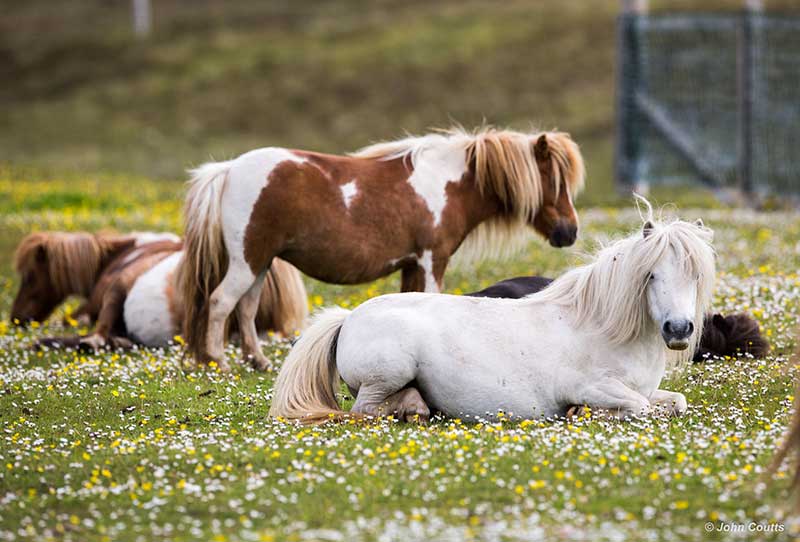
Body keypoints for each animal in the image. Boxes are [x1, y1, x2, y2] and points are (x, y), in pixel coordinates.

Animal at [178, 126, 584, 372]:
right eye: (554, 180)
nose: (569, 232)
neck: (450, 184)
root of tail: (228, 169)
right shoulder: (432, 259)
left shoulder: (410, 265)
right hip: (247, 260)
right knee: (220, 303)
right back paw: (218, 361)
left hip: (260, 263)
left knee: (246, 309)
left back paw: (258, 361)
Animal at [272, 206, 716, 428]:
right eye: (651, 274)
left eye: (696, 275)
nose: (679, 329)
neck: (600, 329)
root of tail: (348, 317)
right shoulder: (594, 388)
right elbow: (638, 407)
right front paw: (580, 413)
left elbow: (675, 402)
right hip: (386, 375)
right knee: (365, 409)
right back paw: (413, 409)